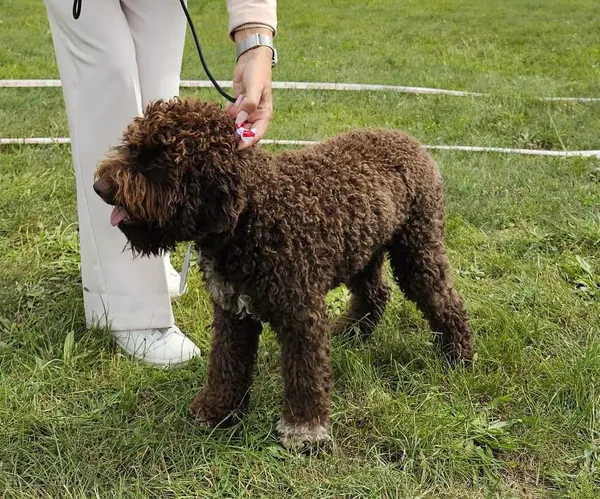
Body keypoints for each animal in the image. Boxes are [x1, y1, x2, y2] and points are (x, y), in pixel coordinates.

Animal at [95, 97, 474, 454]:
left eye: (159, 160)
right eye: (132, 146)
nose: (100, 186)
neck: (251, 213)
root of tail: (411, 141)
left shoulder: (300, 315)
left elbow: (304, 375)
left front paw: (304, 430)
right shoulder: (232, 312)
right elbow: (226, 364)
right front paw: (217, 410)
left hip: (417, 249)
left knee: (444, 301)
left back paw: (458, 356)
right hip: (363, 249)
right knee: (375, 294)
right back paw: (350, 333)